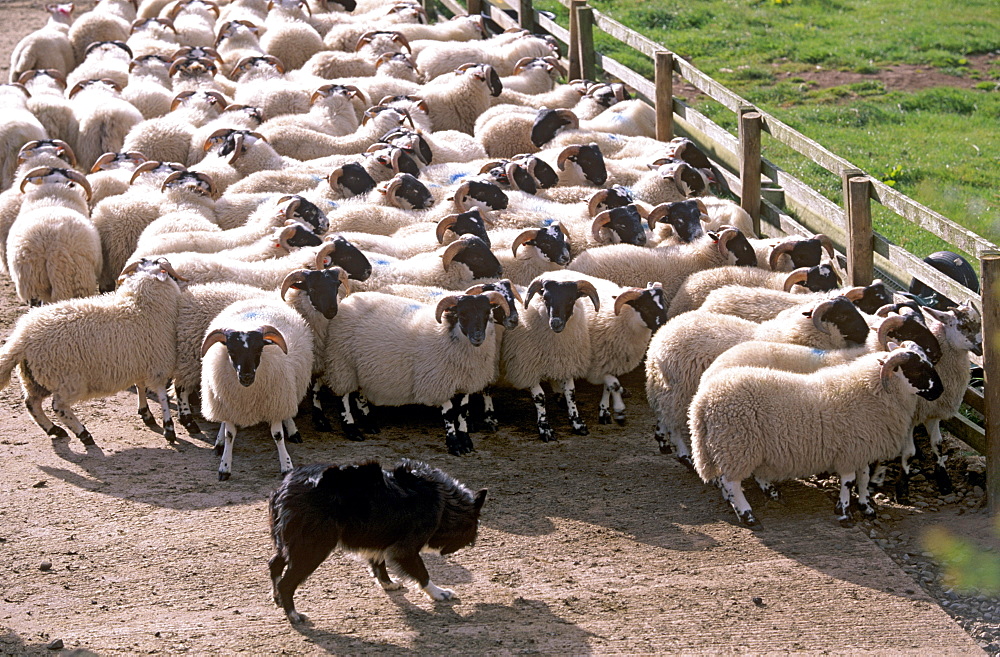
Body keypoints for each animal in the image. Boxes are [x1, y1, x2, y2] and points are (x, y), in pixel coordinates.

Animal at [199, 296, 312, 476]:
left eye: (259, 350)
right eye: (231, 352)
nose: (246, 376)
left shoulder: (275, 402)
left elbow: (278, 435)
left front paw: (286, 465)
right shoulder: (229, 404)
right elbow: (230, 434)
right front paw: (224, 466)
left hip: (288, 389)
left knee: (289, 409)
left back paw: (293, 430)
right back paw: (219, 441)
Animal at [318, 290, 508, 454]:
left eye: (487, 314)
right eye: (462, 315)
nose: (478, 337)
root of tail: (348, 299)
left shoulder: (465, 382)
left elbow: (462, 413)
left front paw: (467, 442)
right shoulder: (439, 381)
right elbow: (448, 415)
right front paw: (454, 446)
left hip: (362, 367)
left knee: (359, 394)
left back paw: (370, 424)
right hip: (342, 363)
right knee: (343, 397)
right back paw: (352, 430)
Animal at [644, 294, 872, 464]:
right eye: (843, 315)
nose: (868, 333)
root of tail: (658, 340)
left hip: (666, 388)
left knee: (663, 415)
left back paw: (663, 442)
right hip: (679, 391)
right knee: (673, 422)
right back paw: (683, 453)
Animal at [692, 340, 940, 524]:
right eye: (916, 369)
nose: (940, 391)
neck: (872, 391)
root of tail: (702, 401)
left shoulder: (861, 447)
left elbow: (863, 477)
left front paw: (866, 507)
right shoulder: (848, 451)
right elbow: (848, 481)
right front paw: (845, 512)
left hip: (733, 446)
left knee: (730, 477)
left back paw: (767, 495)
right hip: (737, 445)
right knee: (731, 481)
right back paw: (747, 514)